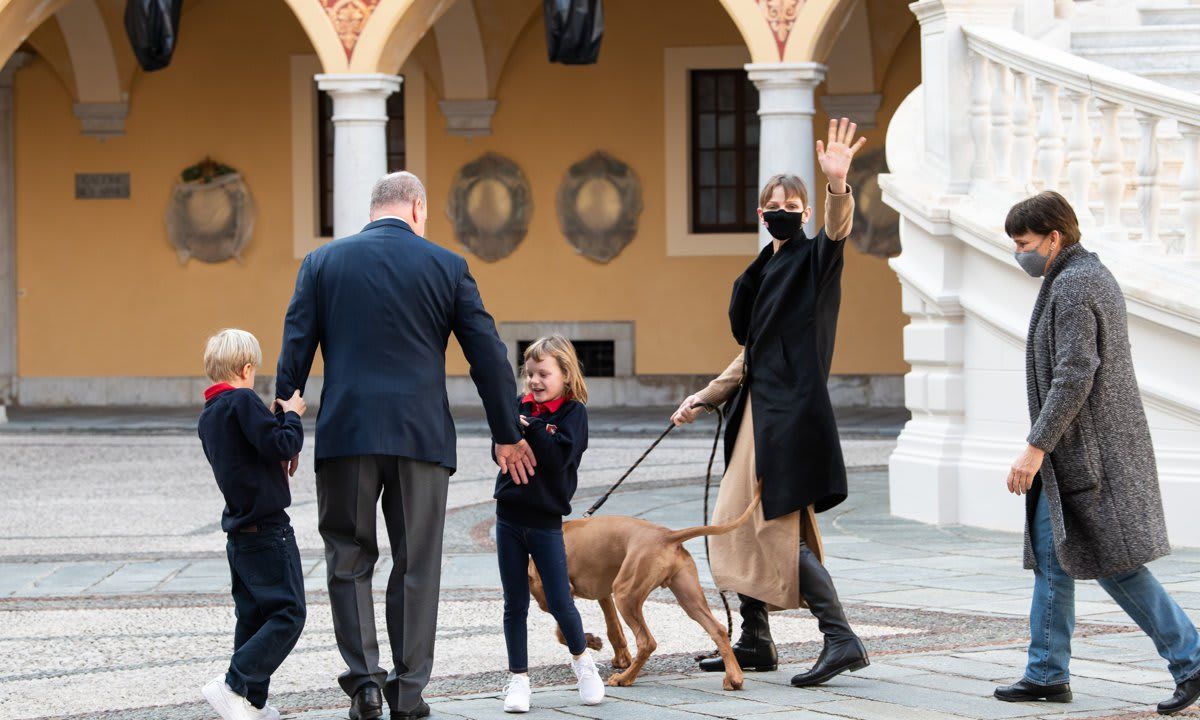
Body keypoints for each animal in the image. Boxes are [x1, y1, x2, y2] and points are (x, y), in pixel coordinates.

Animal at [530, 484, 763, 691]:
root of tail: (667, 535)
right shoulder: (603, 594)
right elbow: (613, 629)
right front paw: (615, 655)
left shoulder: (554, 596)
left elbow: (562, 631)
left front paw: (589, 641)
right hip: (688, 598)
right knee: (719, 630)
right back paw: (734, 678)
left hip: (626, 595)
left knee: (647, 642)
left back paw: (624, 679)